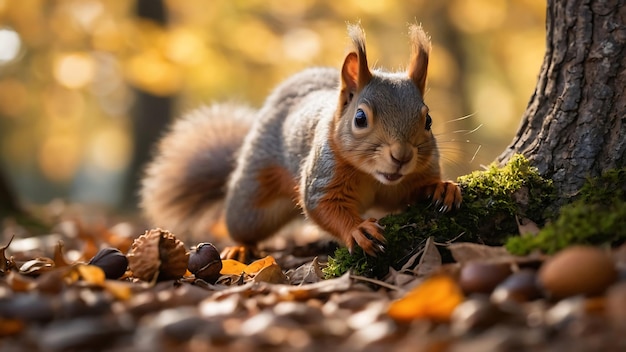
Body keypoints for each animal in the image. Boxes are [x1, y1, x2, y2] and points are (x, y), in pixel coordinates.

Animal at [139, 24, 460, 256]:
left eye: (428, 121)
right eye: (360, 118)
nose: (402, 156)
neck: (374, 177)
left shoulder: (408, 179)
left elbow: (413, 192)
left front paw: (442, 187)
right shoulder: (323, 174)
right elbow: (323, 206)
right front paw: (358, 230)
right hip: (252, 200)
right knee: (242, 224)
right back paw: (241, 247)